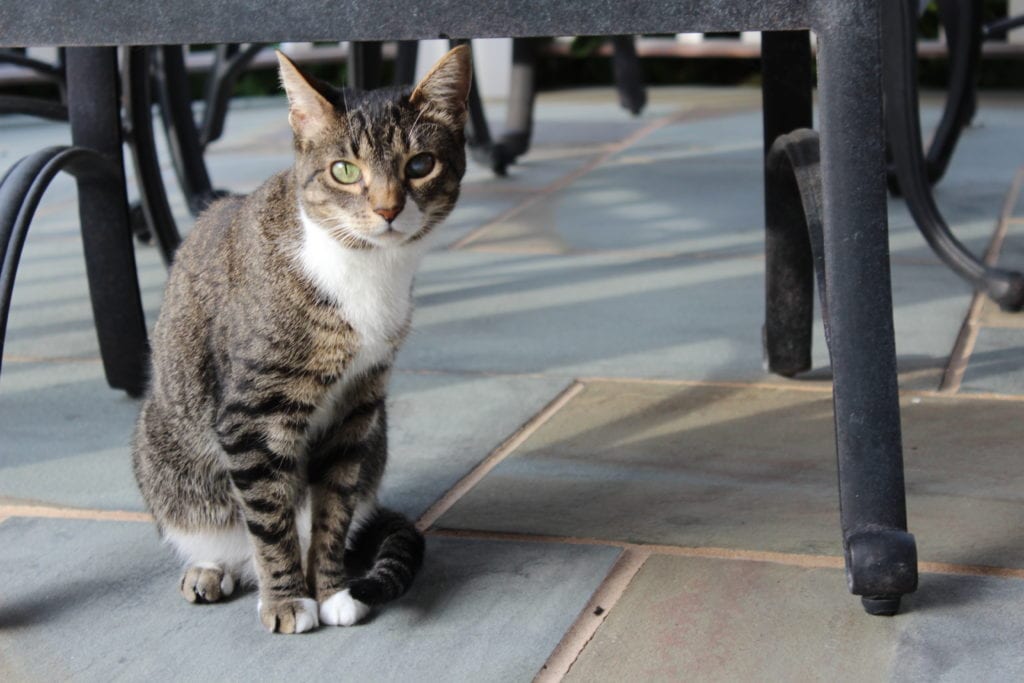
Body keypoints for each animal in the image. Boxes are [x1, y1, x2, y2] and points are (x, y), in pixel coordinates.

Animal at [132, 46, 471, 634]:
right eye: (345, 171)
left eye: (420, 165)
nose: (387, 209)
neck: (363, 265)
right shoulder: (252, 414)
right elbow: (270, 519)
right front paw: (288, 599)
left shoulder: (358, 407)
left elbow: (332, 506)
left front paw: (331, 589)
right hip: (163, 455)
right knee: (222, 534)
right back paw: (211, 569)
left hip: (377, 438)